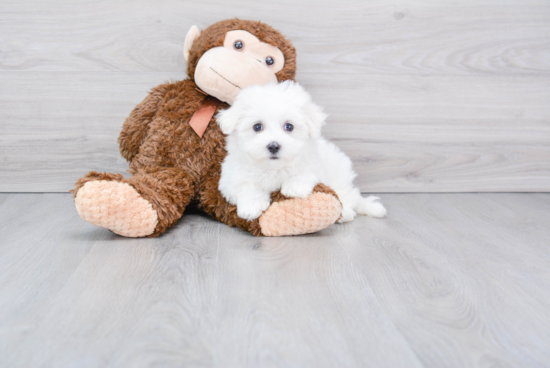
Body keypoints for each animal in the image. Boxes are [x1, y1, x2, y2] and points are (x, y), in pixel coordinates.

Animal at [217, 81, 388, 223]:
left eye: (289, 126)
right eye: (257, 127)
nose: (273, 146)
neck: (273, 168)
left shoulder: (315, 163)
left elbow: (305, 171)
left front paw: (294, 187)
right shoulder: (230, 179)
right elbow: (246, 186)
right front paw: (251, 207)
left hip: (339, 176)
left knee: (348, 197)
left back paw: (346, 212)